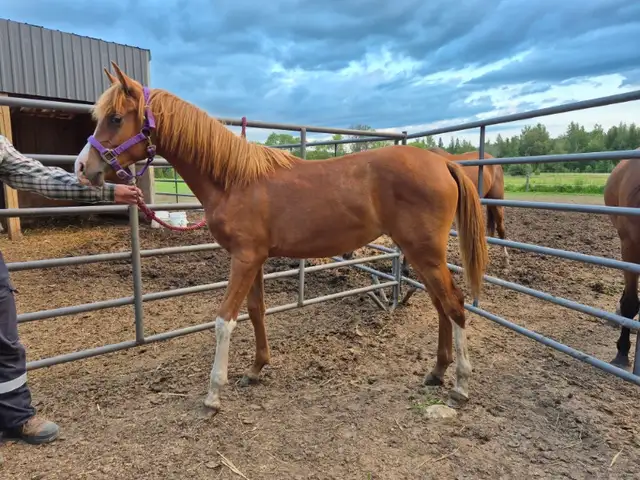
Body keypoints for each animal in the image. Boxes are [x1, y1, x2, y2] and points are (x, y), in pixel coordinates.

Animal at [75, 62, 489, 413]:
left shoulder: (244, 258)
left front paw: (213, 394)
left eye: (115, 118)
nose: (82, 167)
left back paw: (461, 385)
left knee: (454, 304)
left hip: (426, 252)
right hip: (420, 253)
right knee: (440, 305)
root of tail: (443, 162)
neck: (234, 180)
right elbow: (256, 311)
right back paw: (436, 372)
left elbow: (224, 320)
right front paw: (256, 369)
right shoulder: (254, 259)